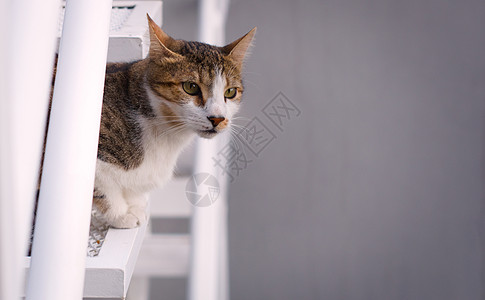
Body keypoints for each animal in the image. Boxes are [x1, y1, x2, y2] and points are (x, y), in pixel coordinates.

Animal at [91, 14, 258, 227]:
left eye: (230, 92)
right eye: (190, 87)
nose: (217, 118)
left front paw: (135, 205)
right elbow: (104, 187)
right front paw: (121, 214)